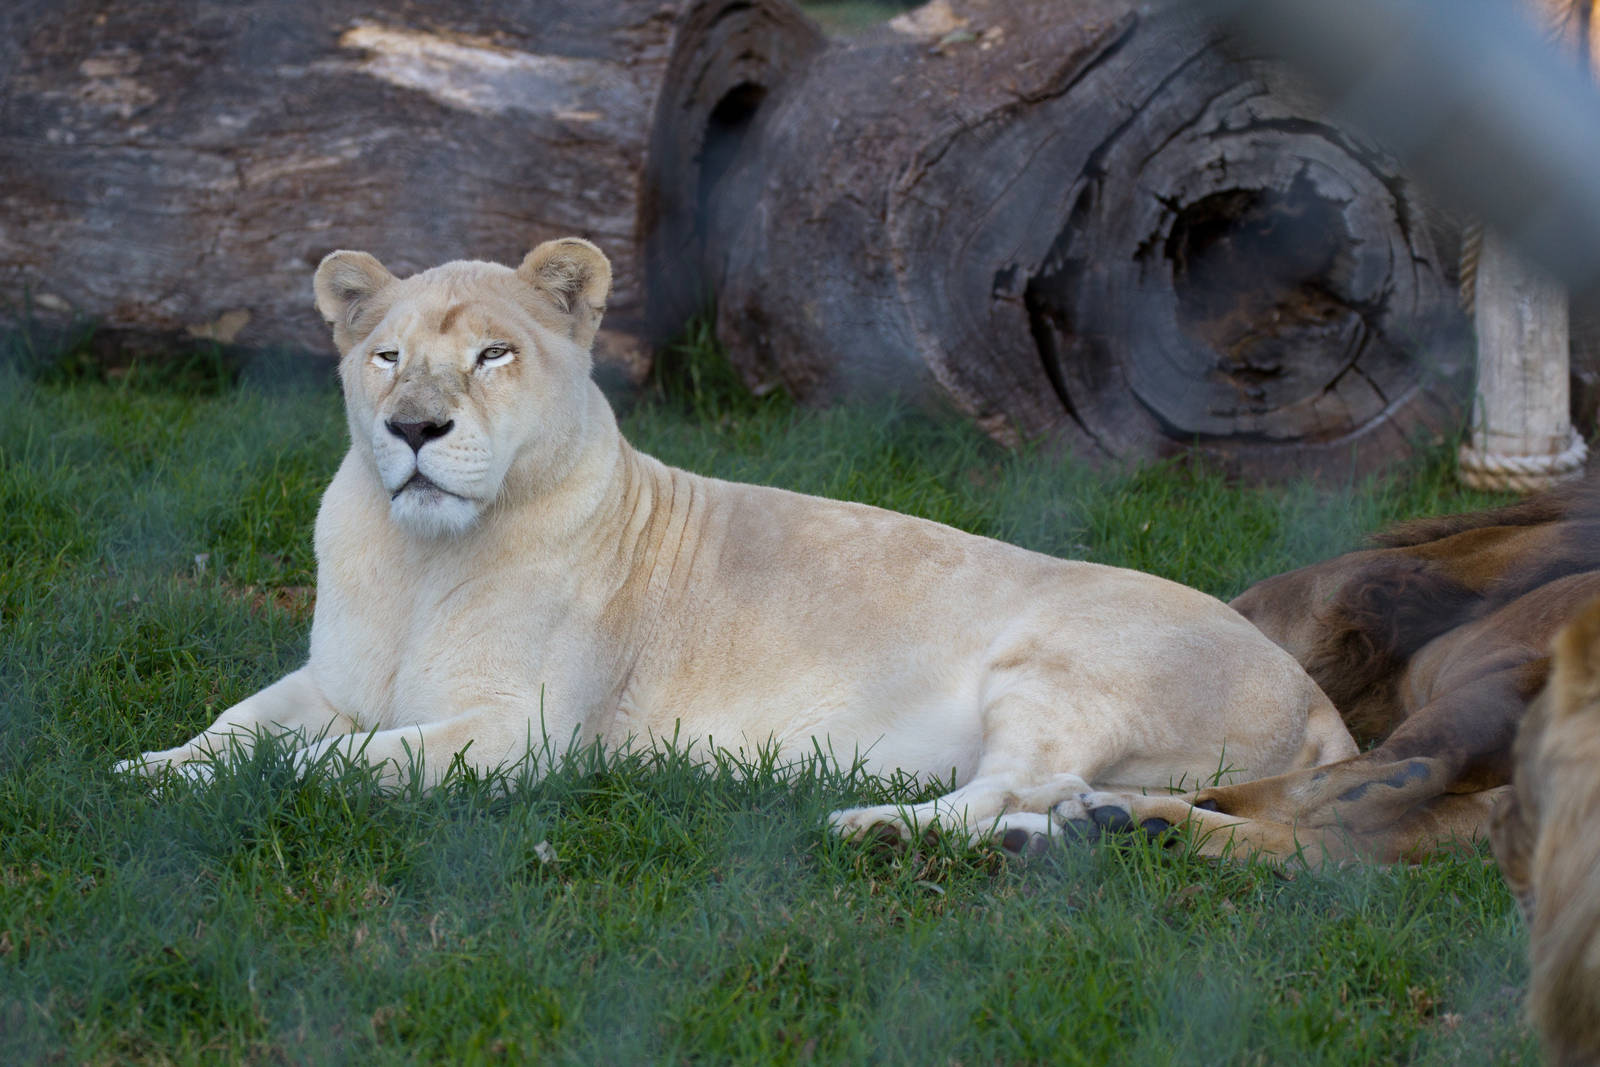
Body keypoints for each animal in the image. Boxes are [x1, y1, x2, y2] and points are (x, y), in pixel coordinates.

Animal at [116, 238, 1355, 843]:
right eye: (385, 356)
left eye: (493, 355)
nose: (412, 427)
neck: (422, 556)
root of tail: (1316, 695)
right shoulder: (334, 679)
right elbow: (237, 724)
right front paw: (143, 770)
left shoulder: (518, 736)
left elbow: (334, 761)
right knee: (1045, 799)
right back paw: (1088, 829)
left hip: (1062, 668)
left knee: (1012, 784)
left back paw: (872, 826)